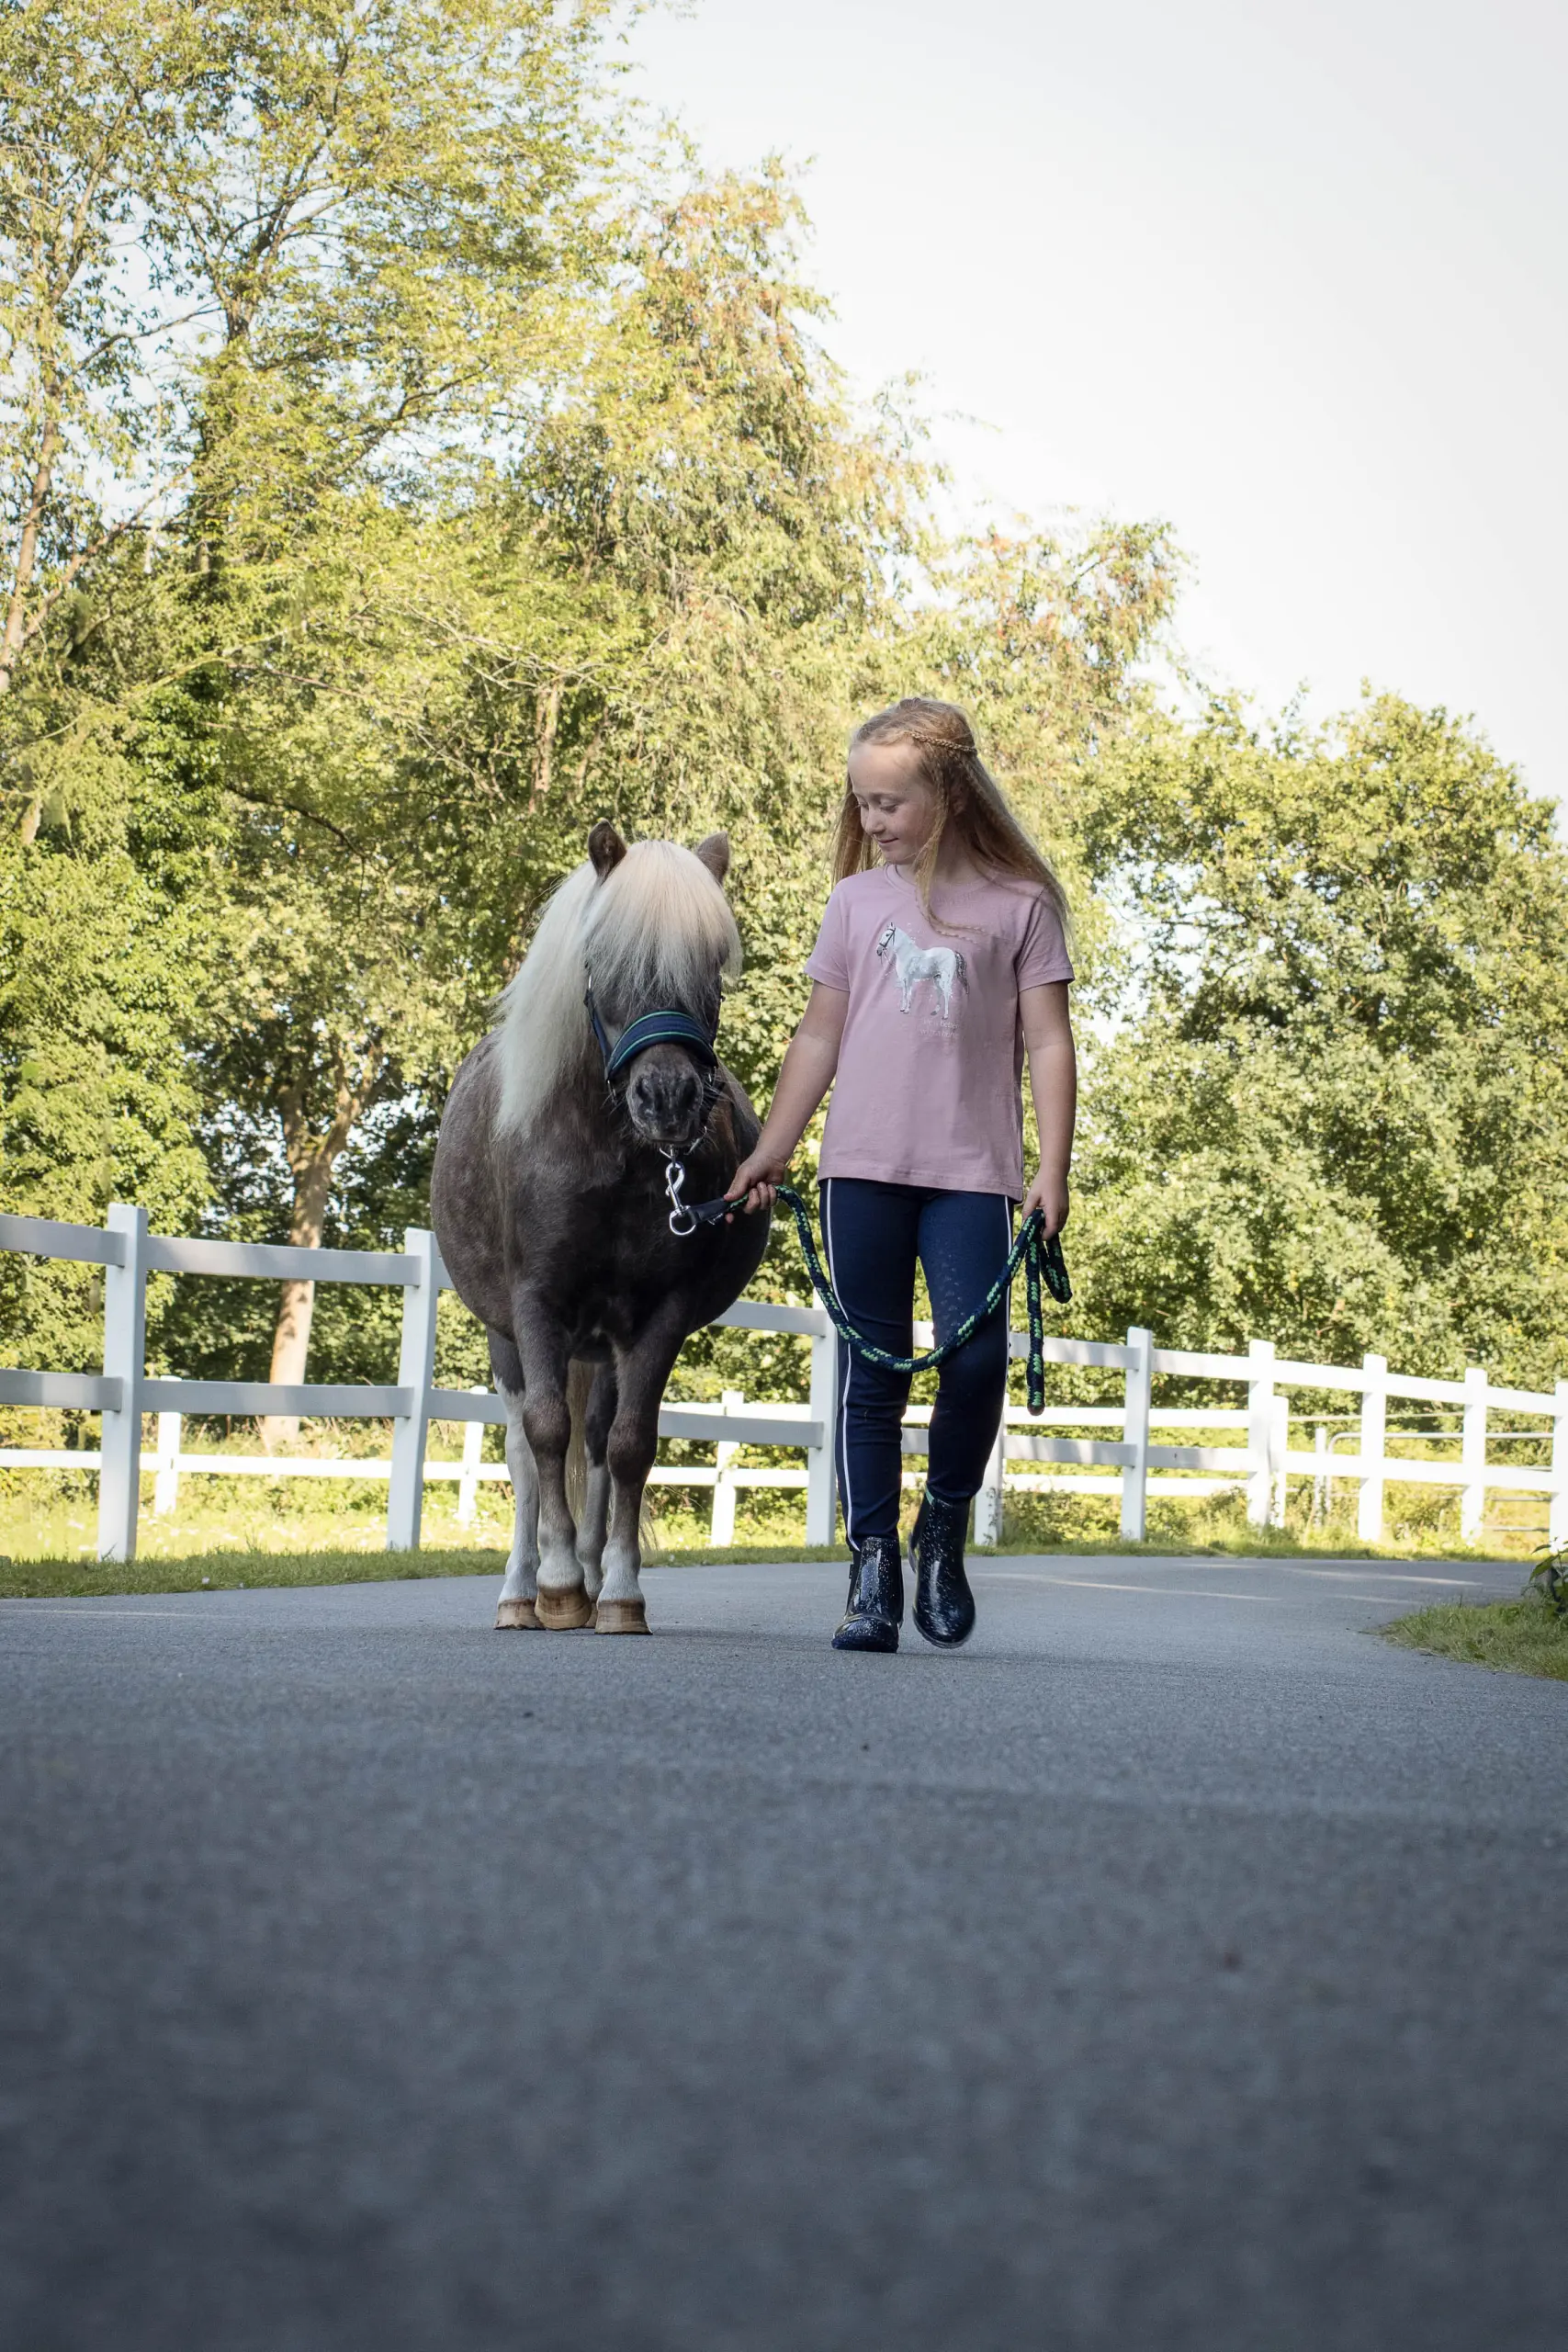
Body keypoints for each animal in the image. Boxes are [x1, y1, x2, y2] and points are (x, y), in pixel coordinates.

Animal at [431, 822, 770, 1634]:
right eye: (602, 960)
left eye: (712, 966)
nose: (667, 1098)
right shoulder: (535, 1304)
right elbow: (544, 1432)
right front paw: (554, 1584)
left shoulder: (656, 1316)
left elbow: (627, 1446)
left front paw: (616, 1590)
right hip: (508, 1338)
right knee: (525, 1452)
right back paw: (521, 1592)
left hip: (603, 1343)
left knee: (594, 1442)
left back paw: (587, 1579)